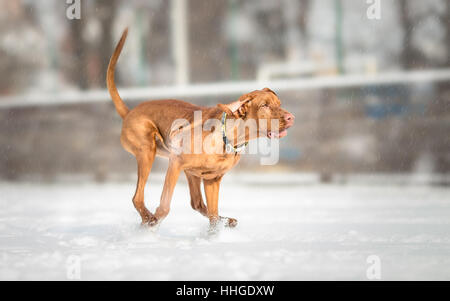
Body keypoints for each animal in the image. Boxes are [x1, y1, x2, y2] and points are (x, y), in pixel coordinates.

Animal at [107, 29, 294, 229]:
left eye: (279, 104)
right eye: (264, 105)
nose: (291, 117)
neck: (227, 138)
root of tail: (129, 112)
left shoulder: (212, 180)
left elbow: (212, 215)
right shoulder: (175, 163)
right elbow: (165, 206)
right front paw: (154, 221)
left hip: (191, 173)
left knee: (198, 204)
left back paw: (226, 220)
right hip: (147, 150)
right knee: (137, 198)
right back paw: (148, 220)